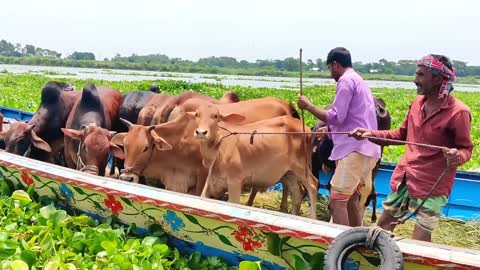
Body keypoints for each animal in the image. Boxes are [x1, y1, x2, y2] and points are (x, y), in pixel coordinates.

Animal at [180, 98, 318, 218]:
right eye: (197, 114)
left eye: (216, 116)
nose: (201, 132)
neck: (218, 151)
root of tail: (305, 127)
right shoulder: (211, 183)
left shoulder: (235, 182)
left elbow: (233, 203)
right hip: (289, 172)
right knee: (297, 192)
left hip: (301, 166)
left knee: (313, 185)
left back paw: (312, 218)